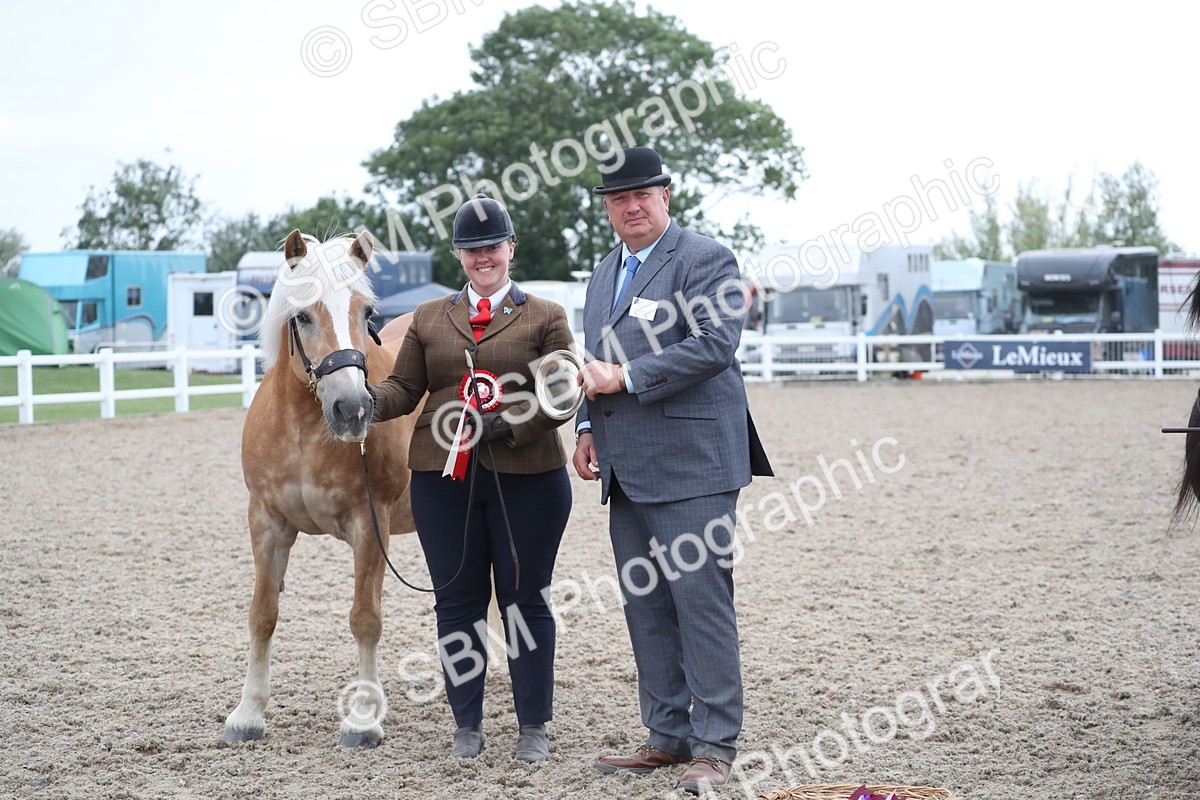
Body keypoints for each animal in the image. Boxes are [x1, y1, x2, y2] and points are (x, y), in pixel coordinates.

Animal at [221, 229, 418, 748]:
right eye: (303, 315)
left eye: (367, 313)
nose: (353, 409)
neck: (305, 433)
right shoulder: (266, 523)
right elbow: (262, 613)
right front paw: (247, 714)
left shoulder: (371, 527)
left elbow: (365, 618)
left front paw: (363, 719)